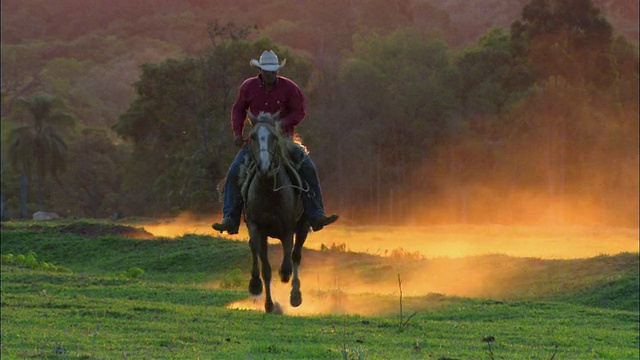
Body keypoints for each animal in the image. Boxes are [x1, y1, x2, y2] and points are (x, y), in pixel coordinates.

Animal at [240, 111, 310, 314]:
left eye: (274, 137)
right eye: (252, 137)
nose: (264, 166)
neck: (269, 191)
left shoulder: (288, 229)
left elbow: (287, 264)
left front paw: (287, 281)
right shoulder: (257, 229)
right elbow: (266, 269)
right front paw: (268, 303)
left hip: (303, 227)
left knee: (296, 256)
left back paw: (295, 296)